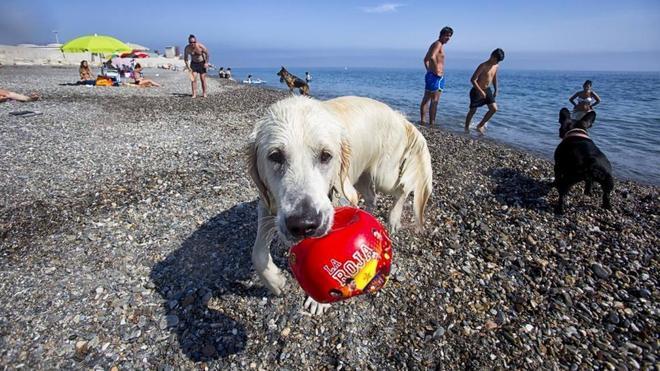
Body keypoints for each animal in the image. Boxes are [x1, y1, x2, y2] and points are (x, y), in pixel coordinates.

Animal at [244, 95, 434, 314]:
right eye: (275, 156)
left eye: (326, 155)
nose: (304, 224)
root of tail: (399, 116)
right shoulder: (268, 204)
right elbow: (257, 253)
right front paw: (275, 282)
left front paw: (318, 302)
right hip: (361, 176)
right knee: (372, 198)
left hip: (383, 175)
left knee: (401, 189)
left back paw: (393, 218)